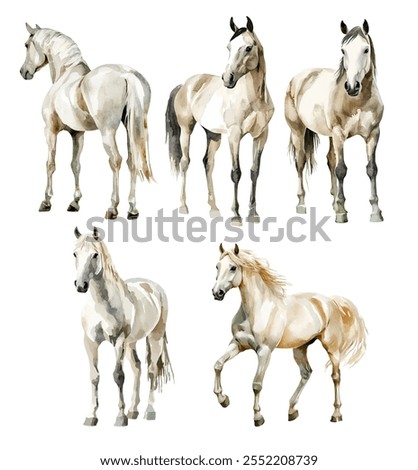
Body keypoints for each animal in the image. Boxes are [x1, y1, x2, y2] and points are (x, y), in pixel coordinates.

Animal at [20, 23, 153, 218]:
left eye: (26, 45)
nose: (23, 72)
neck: (65, 74)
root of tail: (127, 75)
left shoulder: (50, 131)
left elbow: (50, 164)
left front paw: (46, 201)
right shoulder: (78, 134)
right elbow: (75, 165)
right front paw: (74, 202)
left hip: (107, 132)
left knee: (116, 160)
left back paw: (112, 208)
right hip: (131, 129)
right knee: (132, 162)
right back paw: (132, 209)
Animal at [74, 228, 173, 426]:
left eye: (95, 254)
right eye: (75, 254)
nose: (81, 285)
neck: (101, 304)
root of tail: (154, 288)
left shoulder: (118, 340)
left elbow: (118, 376)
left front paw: (120, 417)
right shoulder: (90, 342)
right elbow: (94, 376)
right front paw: (91, 416)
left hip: (154, 337)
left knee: (152, 370)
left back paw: (149, 411)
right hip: (131, 343)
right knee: (137, 368)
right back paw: (133, 410)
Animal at [165, 16, 276, 226]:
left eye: (248, 47)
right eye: (228, 47)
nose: (227, 78)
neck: (254, 99)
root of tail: (185, 84)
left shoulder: (261, 136)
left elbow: (254, 171)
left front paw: (253, 214)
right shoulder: (234, 136)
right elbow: (236, 172)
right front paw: (236, 215)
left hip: (214, 134)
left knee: (208, 163)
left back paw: (214, 209)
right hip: (186, 130)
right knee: (185, 162)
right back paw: (183, 206)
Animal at [212, 246, 366, 426]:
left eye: (233, 267)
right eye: (217, 266)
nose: (217, 293)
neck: (257, 310)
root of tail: (331, 302)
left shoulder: (264, 352)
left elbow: (256, 384)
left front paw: (258, 417)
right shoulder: (237, 344)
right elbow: (218, 365)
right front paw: (223, 399)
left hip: (332, 349)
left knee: (336, 377)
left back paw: (336, 414)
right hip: (299, 348)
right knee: (306, 373)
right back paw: (292, 410)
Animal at [286, 19, 384, 222]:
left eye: (366, 49)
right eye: (343, 50)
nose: (352, 87)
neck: (357, 101)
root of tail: (298, 78)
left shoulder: (373, 134)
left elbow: (371, 169)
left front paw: (375, 211)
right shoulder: (339, 134)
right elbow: (341, 170)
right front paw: (341, 211)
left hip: (331, 136)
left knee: (330, 159)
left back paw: (332, 202)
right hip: (298, 131)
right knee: (300, 162)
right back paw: (301, 203)